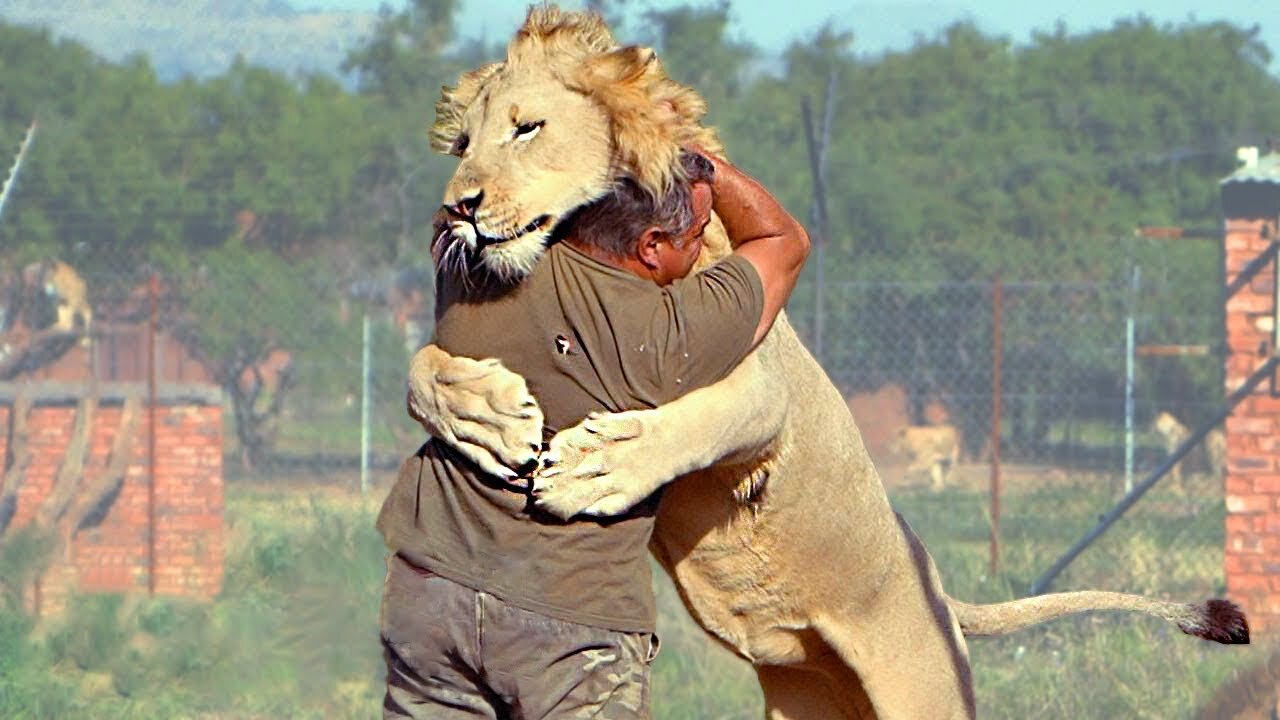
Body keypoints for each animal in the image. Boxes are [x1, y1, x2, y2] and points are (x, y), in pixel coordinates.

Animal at [407, 4, 1249, 712]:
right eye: (462, 143)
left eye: (527, 128)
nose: (457, 208)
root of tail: (936, 583)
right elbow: (422, 369)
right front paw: (485, 418)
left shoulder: (755, 377)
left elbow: (696, 423)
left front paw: (597, 468)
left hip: (925, 692)